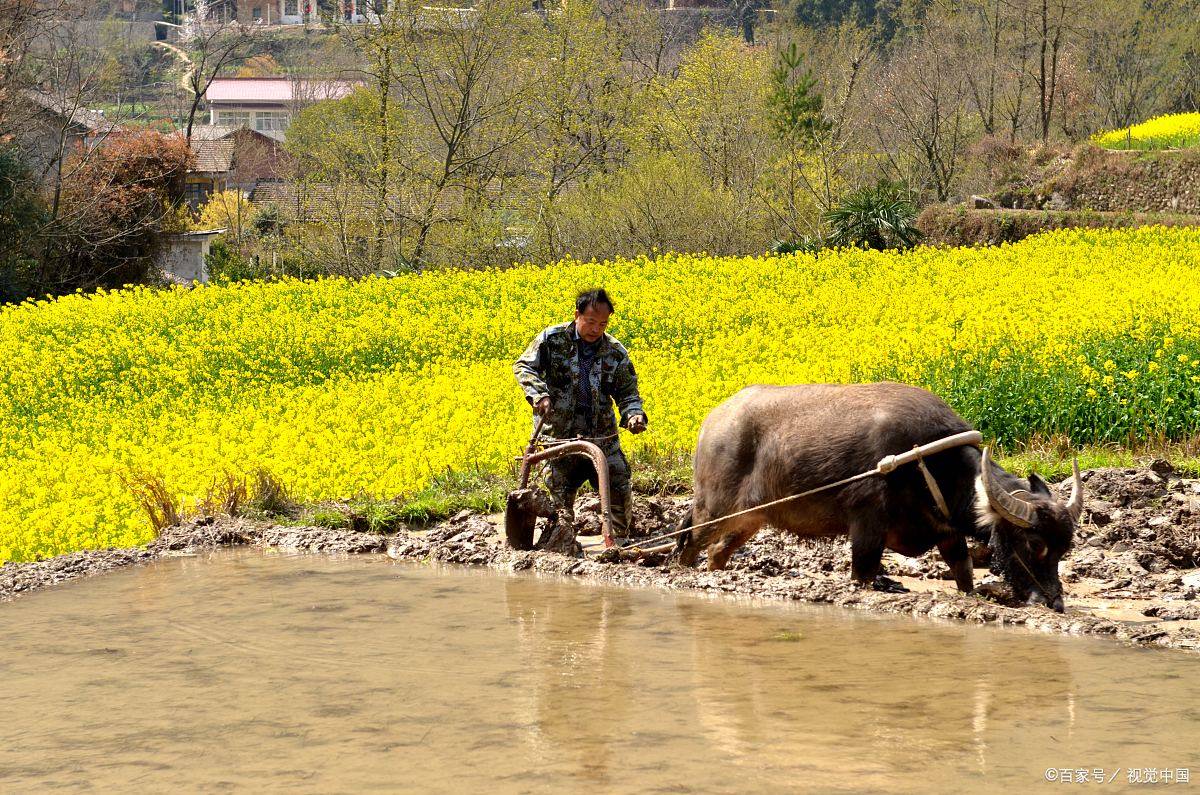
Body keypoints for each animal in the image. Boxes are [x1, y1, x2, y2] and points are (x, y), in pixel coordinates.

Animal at [676, 384, 1089, 612]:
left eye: (1064, 548)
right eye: (1034, 544)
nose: (1054, 603)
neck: (928, 463)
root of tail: (713, 421)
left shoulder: (947, 530)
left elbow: (964, 572)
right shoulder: (866, 529)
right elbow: (864, 573)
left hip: (751, 518)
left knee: (718, 552)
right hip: (714, 508)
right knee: (689, 543)